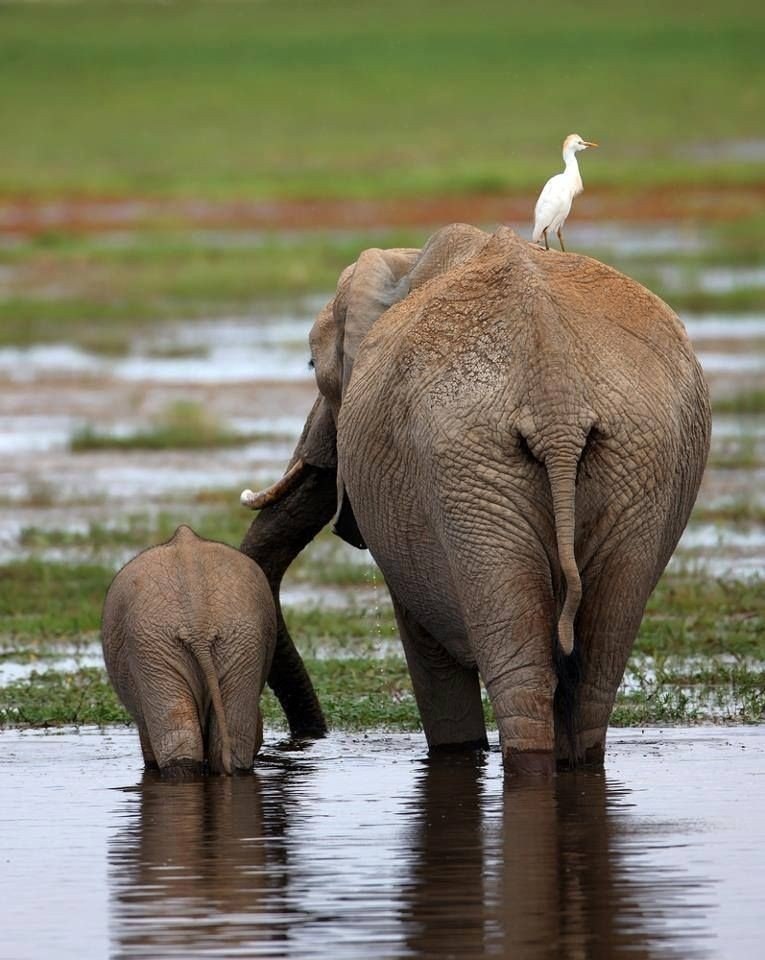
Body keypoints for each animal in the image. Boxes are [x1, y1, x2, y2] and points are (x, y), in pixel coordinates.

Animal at [240, 227, 712, 780]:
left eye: (313, 366)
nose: (304, 741)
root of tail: (556, 395)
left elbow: (426, 645)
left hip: (473, 471)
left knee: (526, 672)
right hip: (633, 465)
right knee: (595, 666)